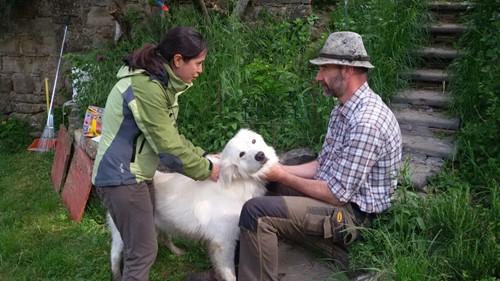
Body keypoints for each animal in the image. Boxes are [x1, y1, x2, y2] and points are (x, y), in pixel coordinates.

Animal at [107, 129, 278, 280]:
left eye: (253, 141)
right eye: (241, 154)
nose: (260, 155)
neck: (236, 182)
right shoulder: (223, 242)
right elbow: (229, 273)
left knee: (164, 238)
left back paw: (177, 251)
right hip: (124, 234)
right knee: (114, 255)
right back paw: (116, 275)